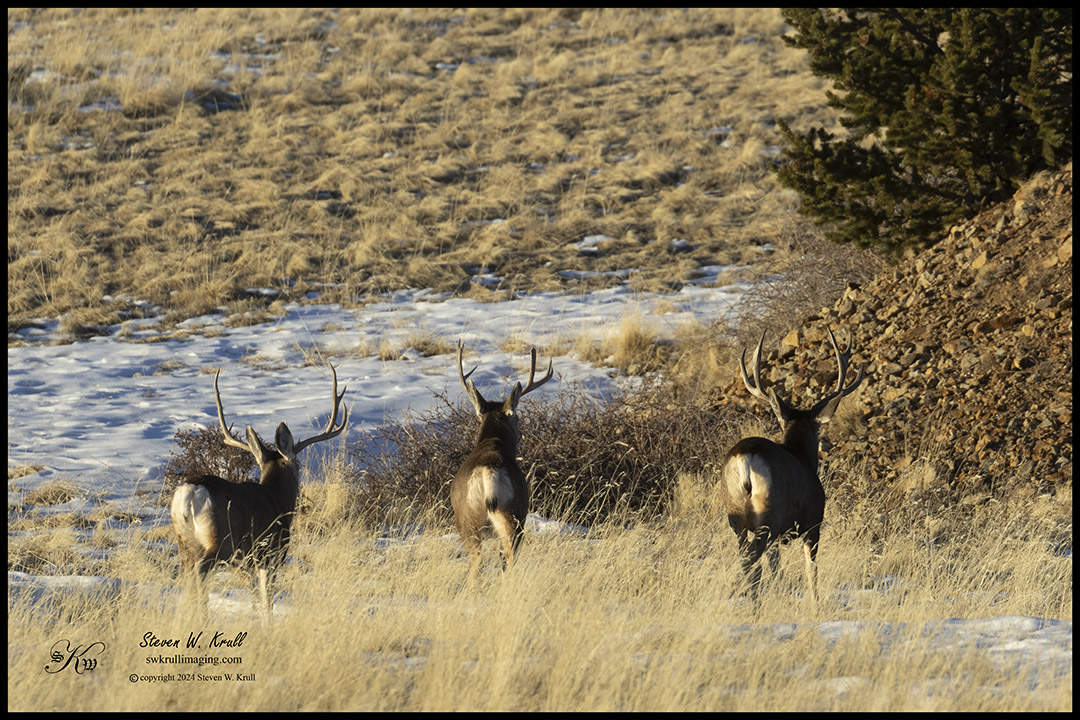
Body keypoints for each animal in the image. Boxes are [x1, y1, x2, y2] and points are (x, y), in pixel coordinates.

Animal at [170, 365, 348, 619]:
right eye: (298, 464)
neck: (278, 499)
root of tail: (191, 492)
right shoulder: (271, 552)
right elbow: (267, 599)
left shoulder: (246, 562)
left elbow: (255, 595)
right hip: (220, 540)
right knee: (200, 572)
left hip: (184, 541)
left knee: (188, 576)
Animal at [451, 340, 554, 582]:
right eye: (517, 417)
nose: (520, 435)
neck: (493, 442)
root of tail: (488, 473)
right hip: (513, 515)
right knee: (506, 556)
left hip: (467, 521)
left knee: (478, 561)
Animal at [720, 327, 864, 606]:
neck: (803, 458)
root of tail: (745, 457)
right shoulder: (813, 524)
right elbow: (811, 571)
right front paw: (816, 605)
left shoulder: (778, 537)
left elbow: (777, 569)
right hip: (770, 513)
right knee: (752, 559)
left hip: (735, 516)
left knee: (746, 558)